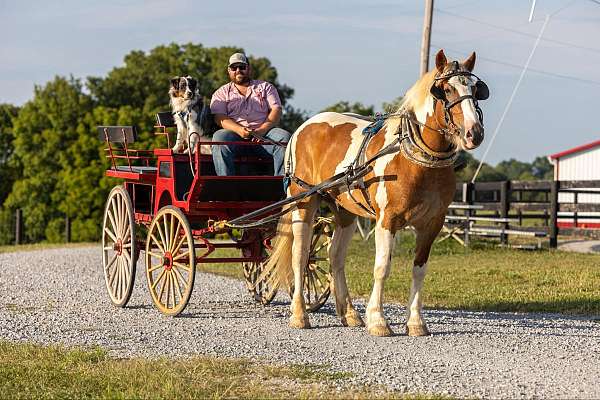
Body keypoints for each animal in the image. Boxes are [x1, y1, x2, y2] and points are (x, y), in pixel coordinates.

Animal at [266, 50, 488, 338]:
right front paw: (378, 320)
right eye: (446, 90)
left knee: (335, 257)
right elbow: (382, 267)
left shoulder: (432, 224)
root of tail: (303, 127)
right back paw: (299, 314)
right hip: (304, 201)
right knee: (300, 255)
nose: (475, 133)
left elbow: (419, 269)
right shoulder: (387, 220)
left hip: (346, 211)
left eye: (476, 89)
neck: (416, 159)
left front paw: (416, 322)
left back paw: (349, 313)